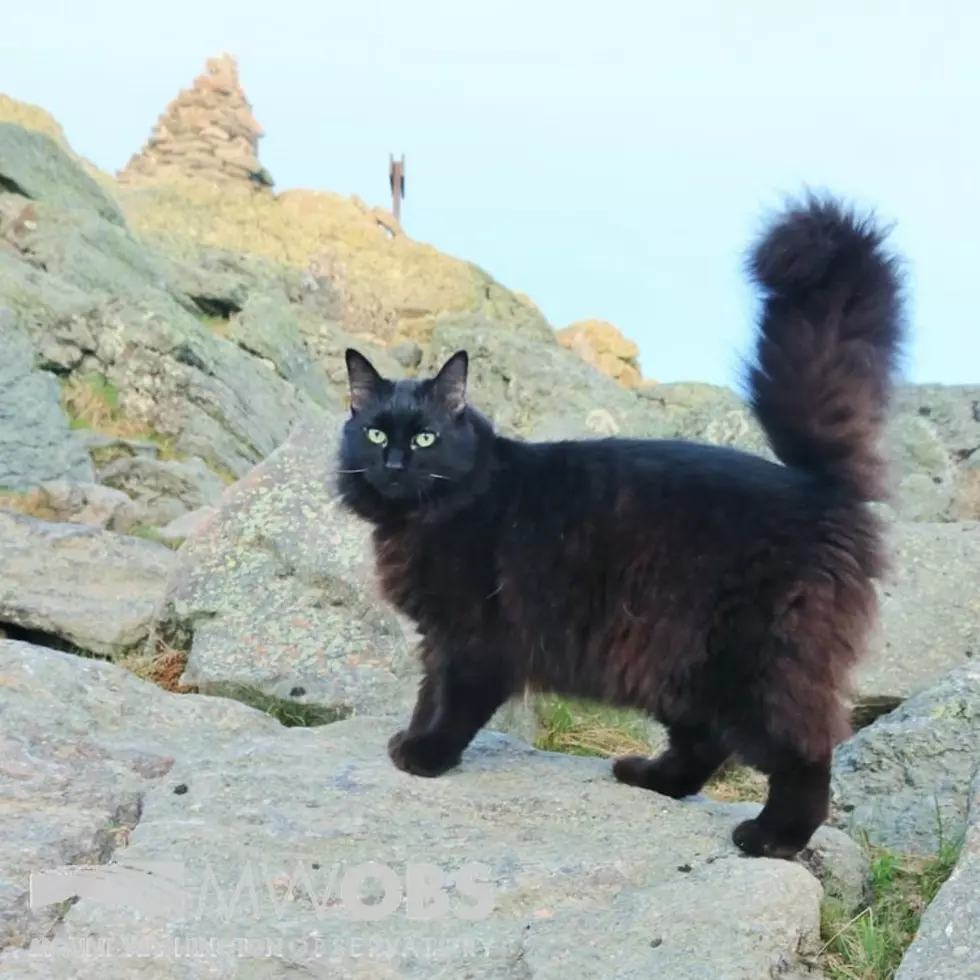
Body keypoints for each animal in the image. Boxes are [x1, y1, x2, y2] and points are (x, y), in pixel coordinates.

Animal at [334, 195, 904, 860]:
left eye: (425, 438)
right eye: (376, 433)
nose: (396, 465)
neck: (432, 512)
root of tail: (818, 487)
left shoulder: (474, 637)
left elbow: (451, 704)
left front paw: (425, 756)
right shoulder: (439, 637)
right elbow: (429, 695)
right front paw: (412, 741)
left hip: (757, 665)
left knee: (804, 751)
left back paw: (771, 837)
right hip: (677, 665)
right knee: (705, 743)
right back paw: (652, 778)